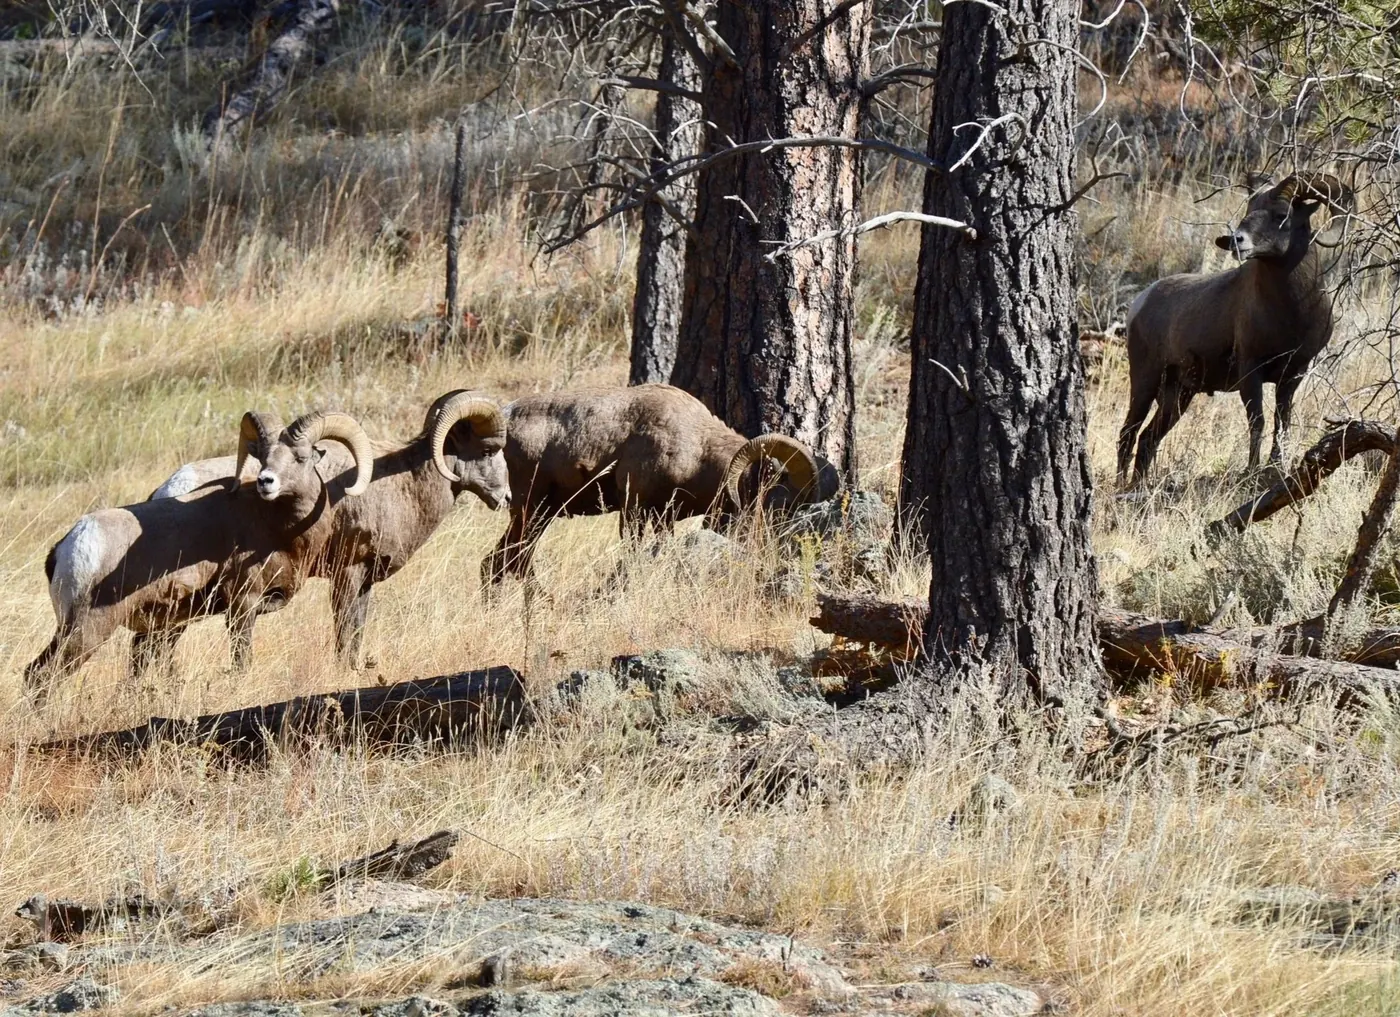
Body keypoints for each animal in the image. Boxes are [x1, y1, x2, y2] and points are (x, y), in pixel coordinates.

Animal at [26, 410, 373, 703]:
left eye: (300, 458)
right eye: (263, 457)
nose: (266, 482)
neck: (278, 528)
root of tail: (68, 546)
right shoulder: (242, 605)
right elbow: (241, 662)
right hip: (87, 631)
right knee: (43, 675)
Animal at [147, 391, 509, 668]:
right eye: (487, 451)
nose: (505, 497)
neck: (402, 486)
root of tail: (167, 490)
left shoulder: (365, 581)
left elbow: (357, 631)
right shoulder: (347, 572)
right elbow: (345, 630)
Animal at [483, 383, 842, 592]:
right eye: (784, 500)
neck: (695, 449)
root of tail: (505, 420)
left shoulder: (662, 519)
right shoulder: (635, 510)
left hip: (538, 514)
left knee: (498, 563)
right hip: (532, 511)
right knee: (512, 563)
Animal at [1117, 173, 1353, 485]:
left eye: (1282, 215)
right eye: (1249, 210)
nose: (1236, 241)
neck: (1291, 313)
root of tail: (1141, 301)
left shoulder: (1293, 374)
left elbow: (1281, 420)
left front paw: (1275, 468)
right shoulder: (1250, 371)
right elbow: (1257, 421)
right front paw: (1251, 472)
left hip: (1177, 395)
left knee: (1147, 439)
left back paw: (1138, 487)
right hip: (1145, 380)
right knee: (1128, 434)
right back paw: (1121, 486)